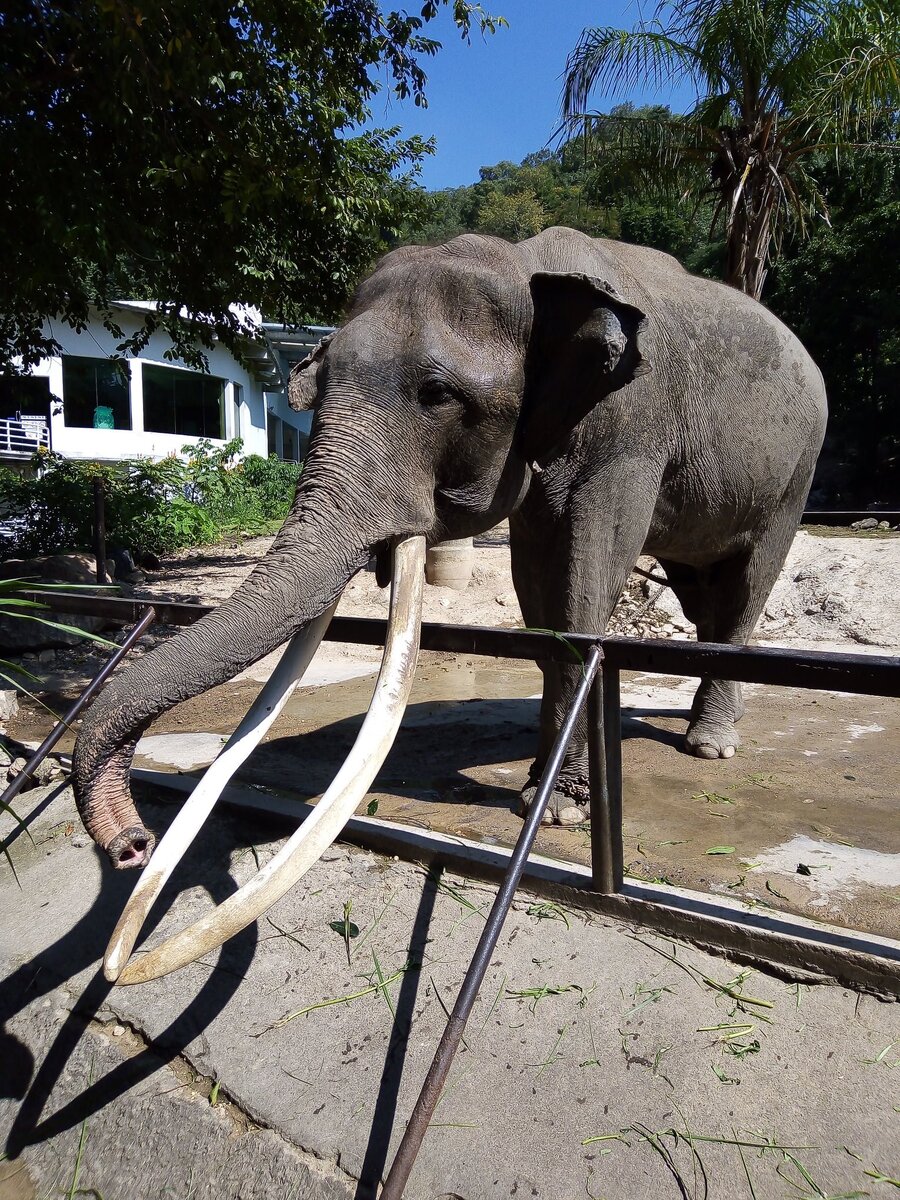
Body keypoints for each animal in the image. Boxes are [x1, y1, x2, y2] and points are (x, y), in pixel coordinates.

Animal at [72, 226, 827, 981]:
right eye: (317, 386)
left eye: (435, 393)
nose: (134, 842)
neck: (525, 263)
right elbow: (536, 583)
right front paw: (545, 791)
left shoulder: (630, 430)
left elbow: (588, 573)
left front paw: (557, 812)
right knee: (704, 593)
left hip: (796, 472)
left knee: (745, 586)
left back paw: (710, 746)